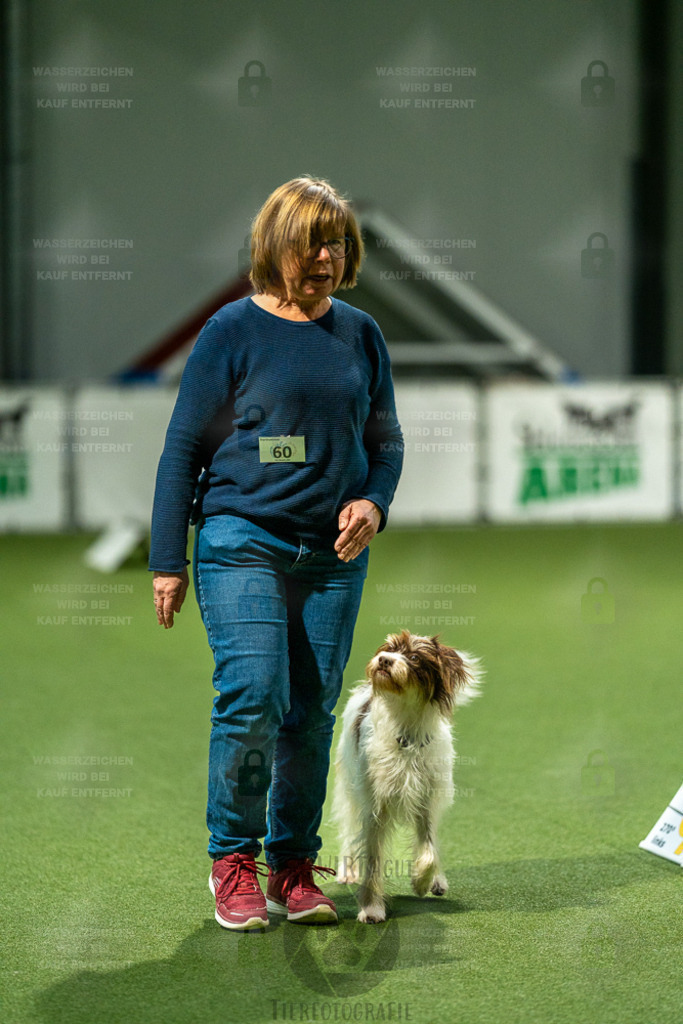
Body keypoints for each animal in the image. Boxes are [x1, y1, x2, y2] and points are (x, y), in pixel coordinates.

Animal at [331, 626, 481, 925]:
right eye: (388, 648)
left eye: (414, 657)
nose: (384, 660)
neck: (408, 728)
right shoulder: (374, 806)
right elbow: (373, 858)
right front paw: (372, 907)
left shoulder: (427, 798)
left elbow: (429, 847)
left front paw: (423, 881)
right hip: (349, 786)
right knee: (348, 827)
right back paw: (347, 868)